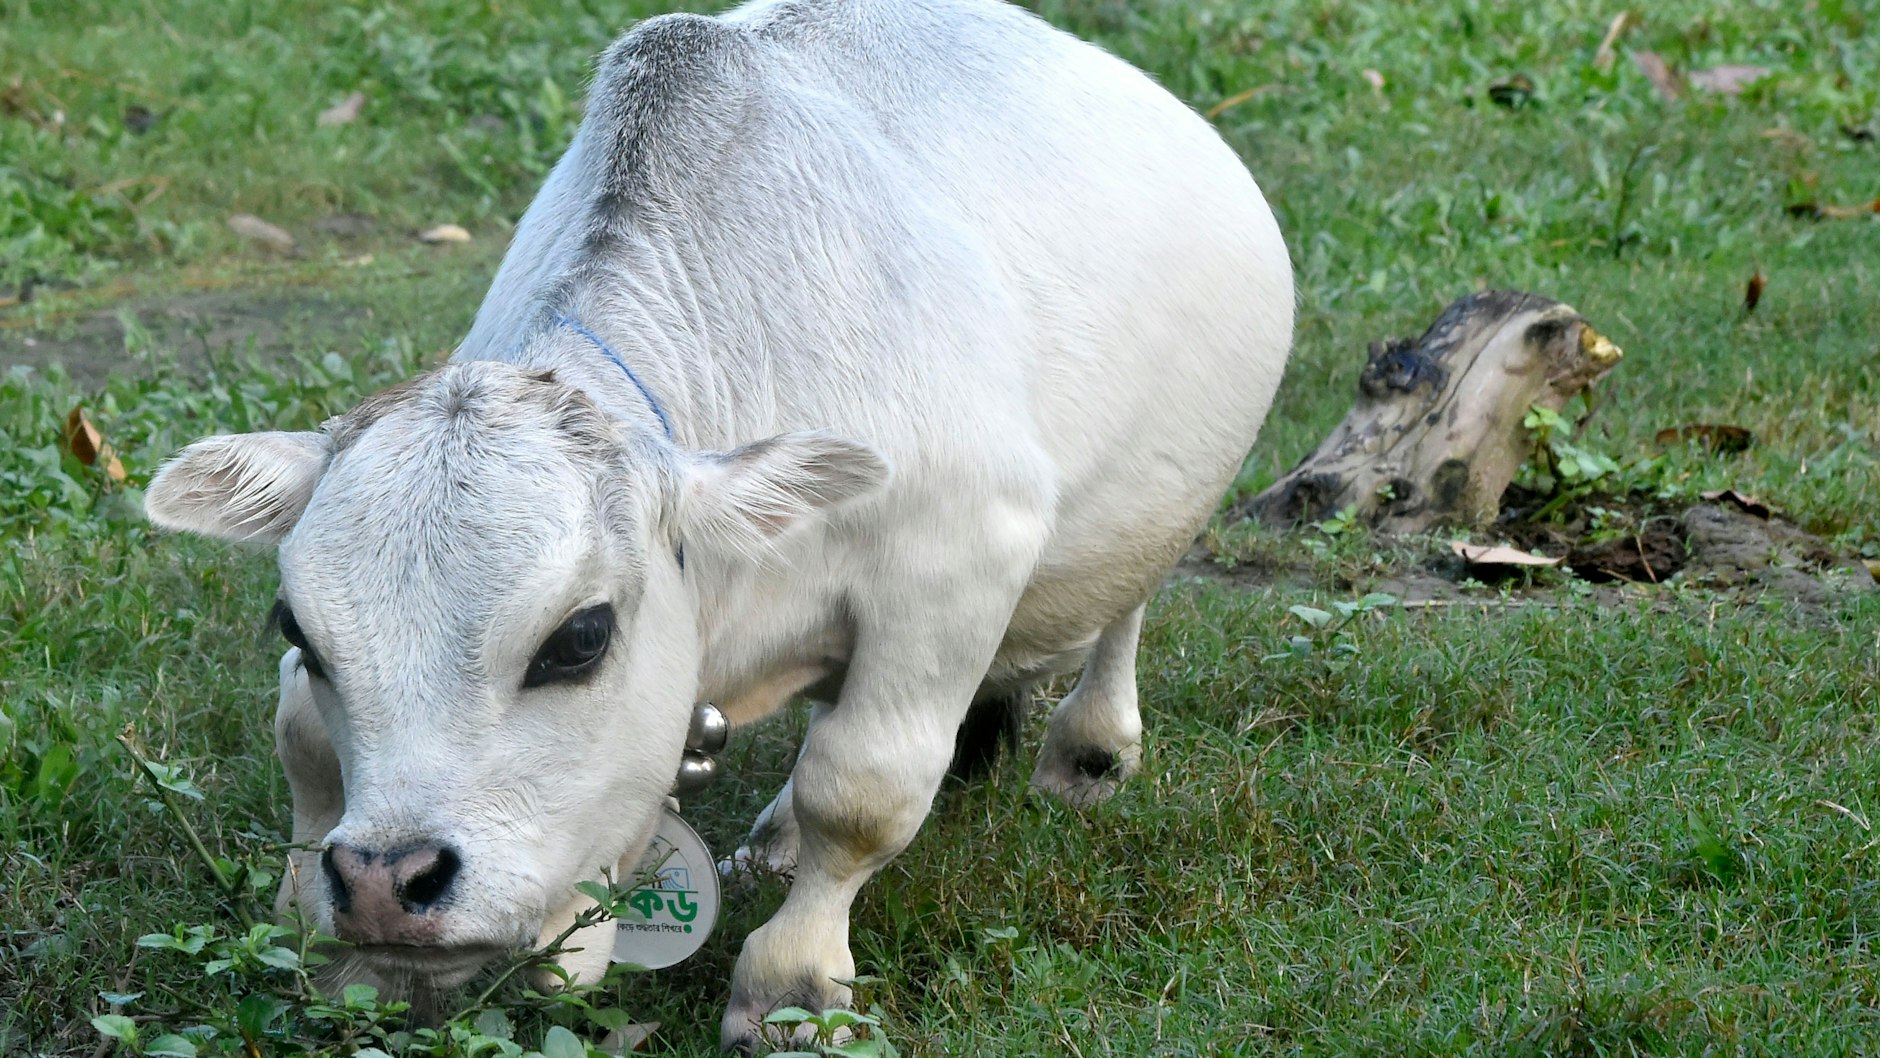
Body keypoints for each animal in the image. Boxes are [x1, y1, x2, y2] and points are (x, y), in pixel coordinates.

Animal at [143, 0, 1293, 1047]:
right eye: (298, 628)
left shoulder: (954, 567)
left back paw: (1089, 748)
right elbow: (300, 735)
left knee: (1121, 613)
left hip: (1154, 514)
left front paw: (792, 983)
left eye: (580, 637)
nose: (388, 880)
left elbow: (862, 788)